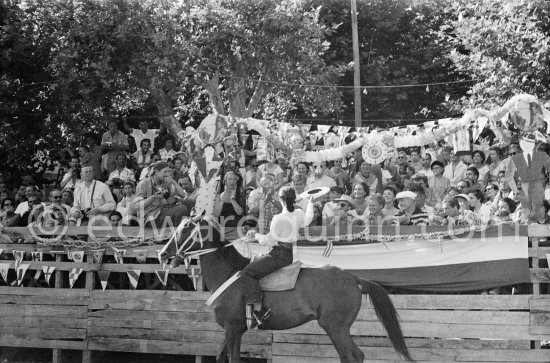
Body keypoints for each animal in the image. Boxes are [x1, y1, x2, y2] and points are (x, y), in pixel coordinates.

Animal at [160, 216, 414, 363]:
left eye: (184, 231)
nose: (162, 253)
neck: (229, 272)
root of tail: (353, 277)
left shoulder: (233, 330)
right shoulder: (231, 330)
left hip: (335, 327)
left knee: (351, 356)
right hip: (338, 328)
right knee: (354, 356)